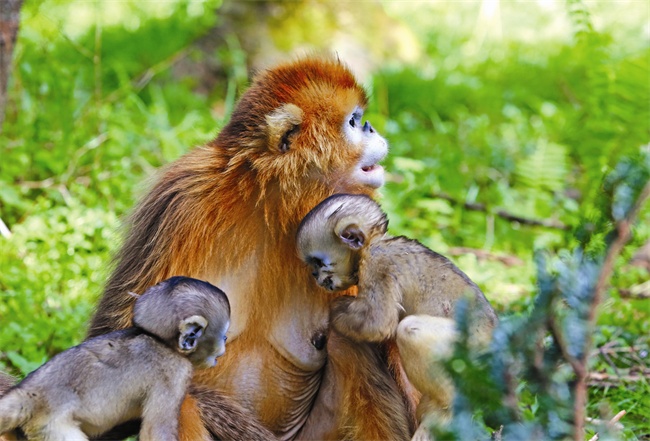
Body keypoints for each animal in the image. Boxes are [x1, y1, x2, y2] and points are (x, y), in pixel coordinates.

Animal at [0, 276, 230, 440]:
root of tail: (30, 394)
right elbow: (156, 431)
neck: (160, 340)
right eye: (223, 334)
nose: (225, 342)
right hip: (52, 427)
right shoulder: (176, 374)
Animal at [296, 194, 498, 438]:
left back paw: (444, 408)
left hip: (471, 347)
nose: (315, 275)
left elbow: (378, 323)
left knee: (410, 329)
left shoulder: (377, 263)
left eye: (318, 262)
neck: (376, 242)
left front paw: (337, 311)